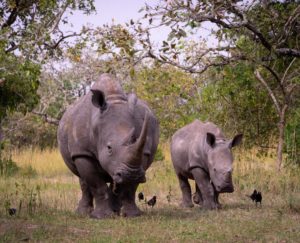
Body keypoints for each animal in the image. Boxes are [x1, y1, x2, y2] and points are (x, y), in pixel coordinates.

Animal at [56, 74, 159, 218]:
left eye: (135, 139)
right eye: (109, 148)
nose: (131, 174)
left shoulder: (142, 155)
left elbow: (130, 187)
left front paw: (132, 215)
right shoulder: (82, 152)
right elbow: (97, 185)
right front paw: (101, 216)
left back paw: (115, 210)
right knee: (83, 179)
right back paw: (83, 213)